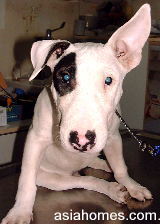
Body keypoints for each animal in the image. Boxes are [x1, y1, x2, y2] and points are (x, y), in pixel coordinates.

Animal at [1, 3, 152, 224]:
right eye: (64, 77)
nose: (81, 140)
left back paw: (106, 167)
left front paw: (132, 186)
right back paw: (111, 188)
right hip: (53, 179)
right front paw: (20, 212)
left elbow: (121, 168)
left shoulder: (113, 137)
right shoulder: (35, 140)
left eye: (108, 80)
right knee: (85, 180)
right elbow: (26, 182)